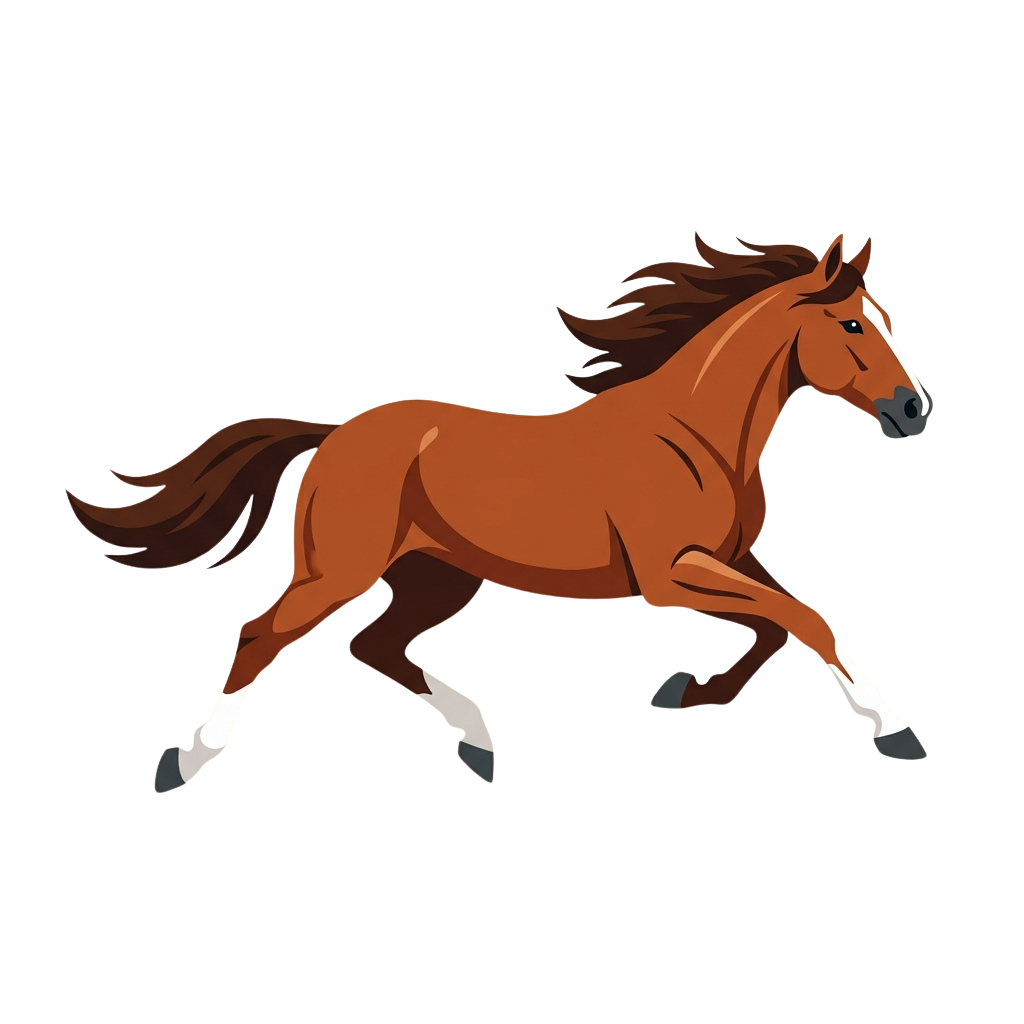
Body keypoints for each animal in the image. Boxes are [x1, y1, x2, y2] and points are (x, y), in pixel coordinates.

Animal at [67, 233, 931, 792]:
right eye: (851, 323)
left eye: (890, 319)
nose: (917, 411)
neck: (695, 433)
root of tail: (333, 436)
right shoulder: (669, 573)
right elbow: (804, 617)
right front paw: (894, 730)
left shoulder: (727, 561)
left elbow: (779, 623)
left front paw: (687, 691)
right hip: (338, 571)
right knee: (262, 634)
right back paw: (186, 761)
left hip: (437, 579)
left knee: (375, 645)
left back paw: (478, 742)